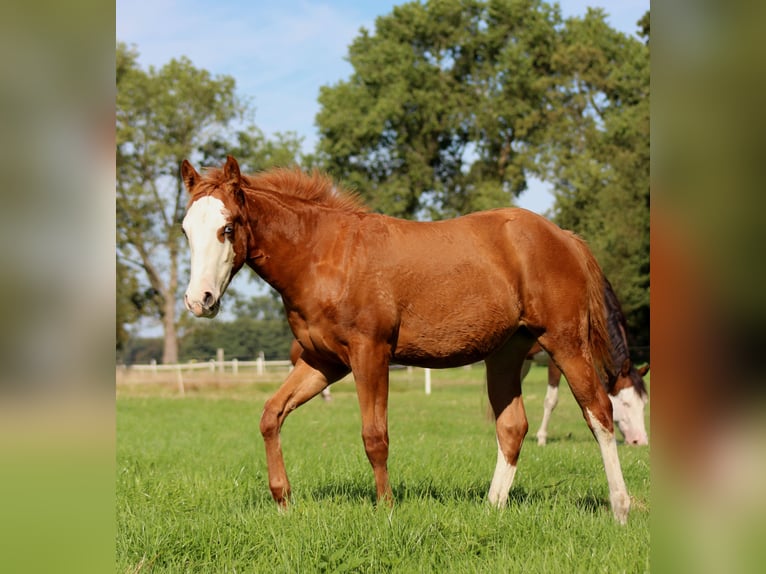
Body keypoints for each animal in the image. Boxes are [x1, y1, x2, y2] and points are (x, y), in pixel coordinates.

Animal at [181, 155, 632, 524]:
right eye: (186, 231)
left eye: (228, 227)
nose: (199, 300)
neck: (324, 255)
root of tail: (565, 237)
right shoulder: (323, 361)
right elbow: (271, 414)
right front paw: (283, 501)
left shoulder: (370, 354)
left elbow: (374, 436)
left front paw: (386, 509)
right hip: (506, 354)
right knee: (511, 426)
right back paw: (491, 508)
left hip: (566, 344)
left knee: (599, 412)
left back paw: (620, 508)